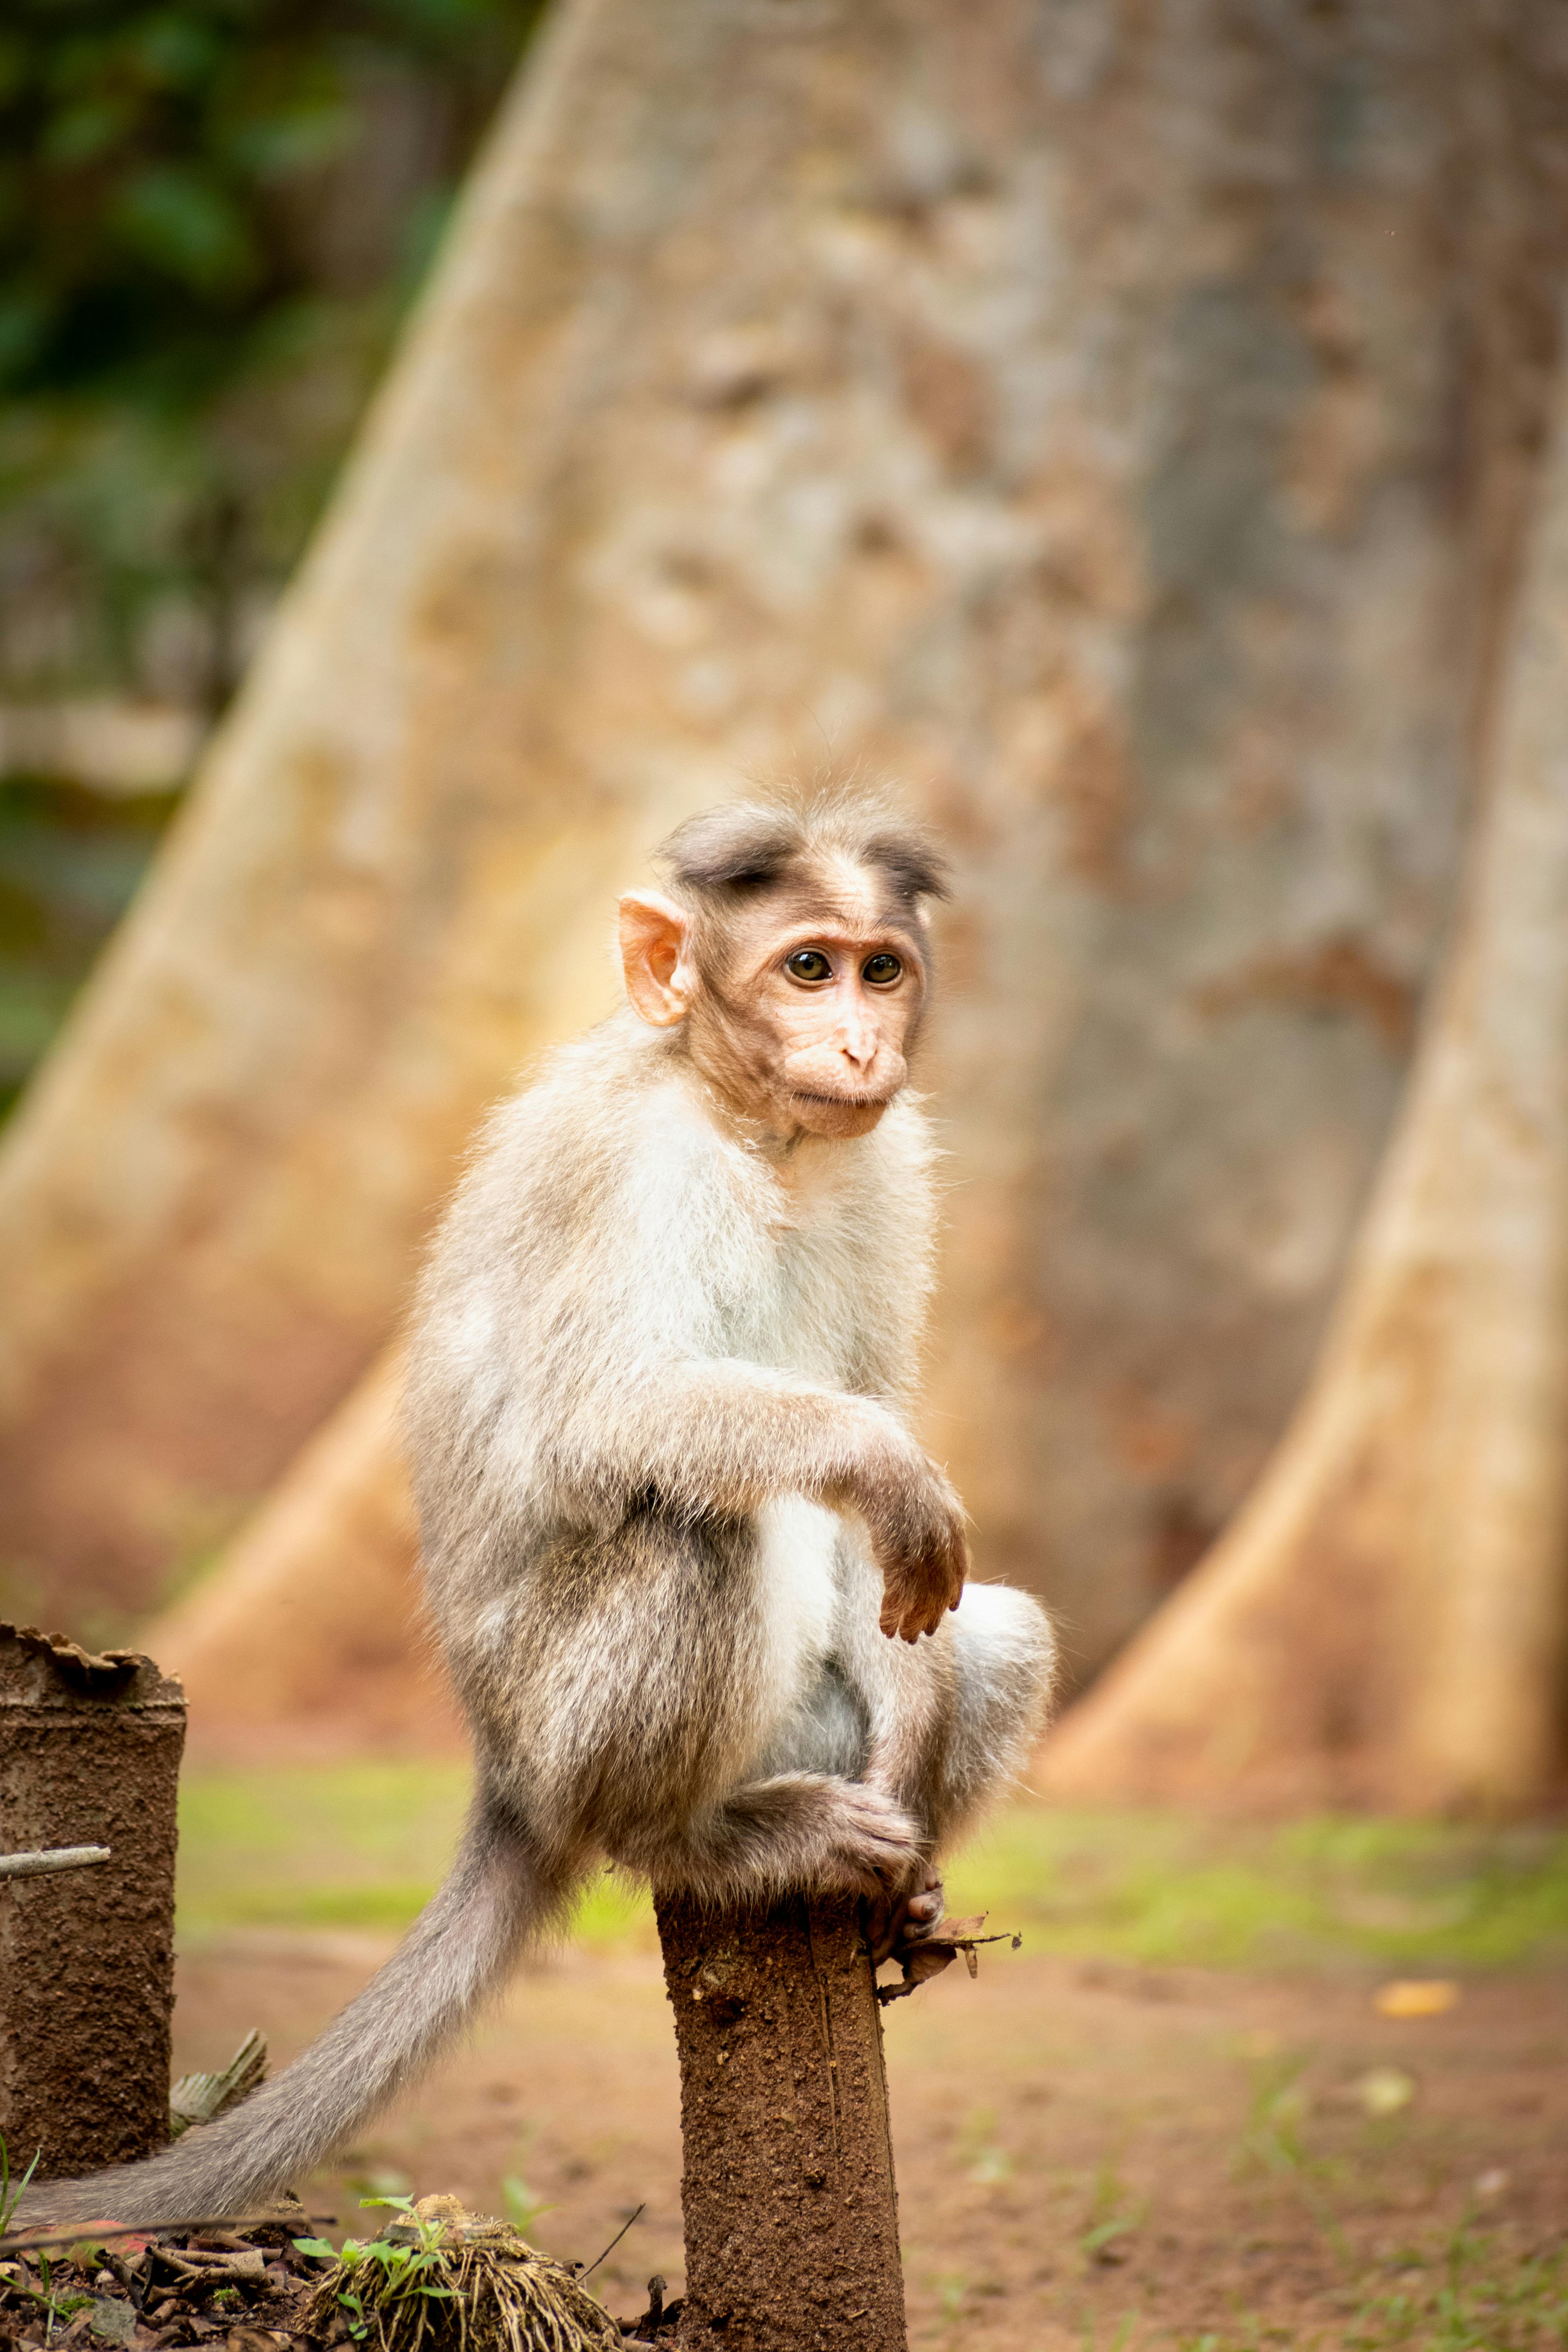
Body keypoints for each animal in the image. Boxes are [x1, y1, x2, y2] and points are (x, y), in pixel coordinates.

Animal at [20, 784, 1053, 2230]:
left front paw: (915, 1712)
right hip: (568, 1730)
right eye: (807, 967)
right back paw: (706, 1839)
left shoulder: (888, 1165)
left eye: (880, 969)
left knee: (993, 1629)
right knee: (692, 1528)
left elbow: (885, 1498)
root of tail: (505, 1776)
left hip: (798, 1726)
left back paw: (902, 1891)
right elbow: (607, 1417)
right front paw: (882, 1464)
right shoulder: (632, 1168)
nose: (859, 1040)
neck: (751, 1128)